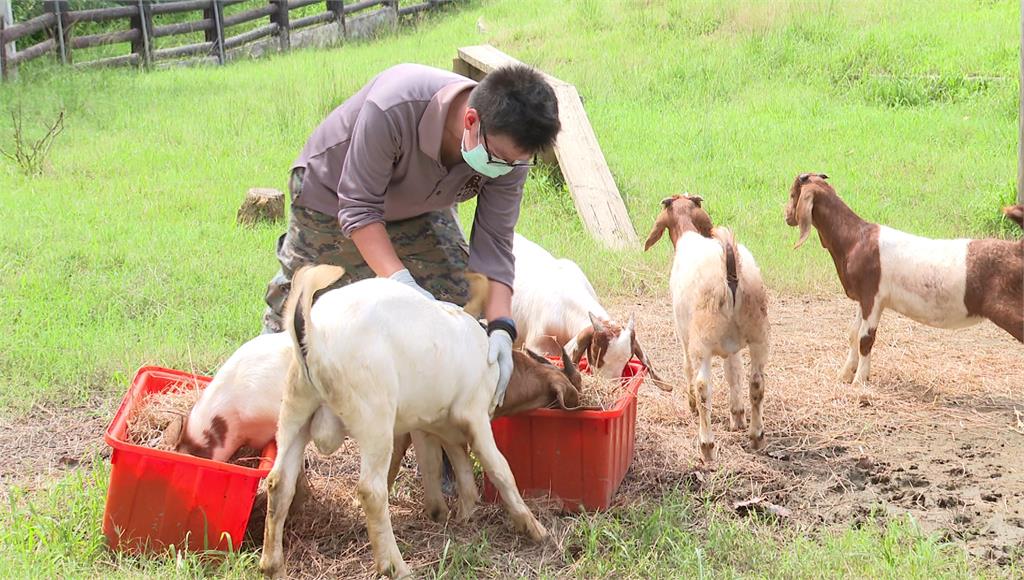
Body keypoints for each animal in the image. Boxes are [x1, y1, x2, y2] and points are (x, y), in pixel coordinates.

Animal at [647, 195, 770, 463]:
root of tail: (730, 270)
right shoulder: (732, 345)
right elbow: (734, 372)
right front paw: (737, 416)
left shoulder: (683, 333)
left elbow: (687, 368)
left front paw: (691, 404)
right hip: (759, 332)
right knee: (757, 382)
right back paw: (756, 436)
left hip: (701, 339)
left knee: (703, 386)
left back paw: (706, 445)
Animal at [786, 175, 1019, 389]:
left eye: (792, 194)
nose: (786, 215)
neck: (854, 239)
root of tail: (1018, 248)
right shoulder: (863, 298)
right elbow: (853, 334)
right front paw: (844, 375)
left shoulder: (872, 295)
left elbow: (865, 339)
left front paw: (859, 381)